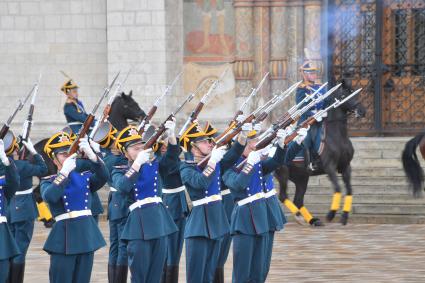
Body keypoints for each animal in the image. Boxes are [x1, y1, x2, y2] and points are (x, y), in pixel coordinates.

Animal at [274, 82, 366, 226]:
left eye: (355, 93)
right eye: (345, 95)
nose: (362, 111)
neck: (338, 136)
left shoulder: (346, 166)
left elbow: (349, 189)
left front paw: (344, 216)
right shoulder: (330, 167)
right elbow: (338, 188)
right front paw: (331, 214)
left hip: (302, 178)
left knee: (298, 200)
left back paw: (312, 220)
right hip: (283, 173)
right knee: (283, 196)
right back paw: (299, 216)